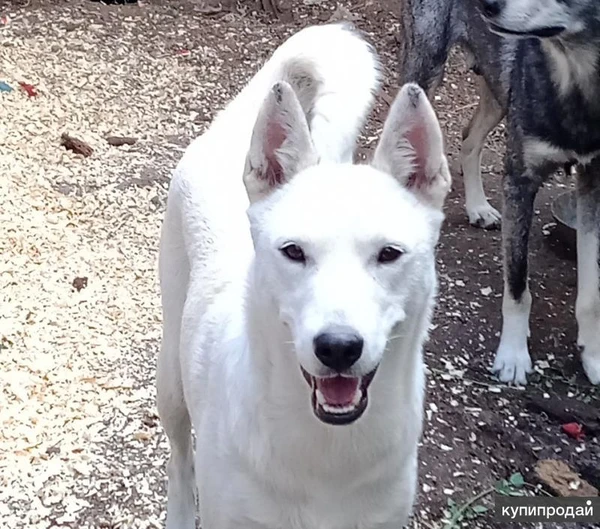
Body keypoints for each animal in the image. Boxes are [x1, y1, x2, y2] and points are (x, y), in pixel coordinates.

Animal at [157, 22, 452, 528]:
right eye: (293, 252)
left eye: (389, 254)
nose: (337, 348)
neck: (325, 452)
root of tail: (229, 136)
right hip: (171, 380)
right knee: (179, 460)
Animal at [398, 0, 600, 386]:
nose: (486, 5)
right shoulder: (520, 181)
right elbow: (518, 285)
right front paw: (514, 356)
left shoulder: (594, 185)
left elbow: (591, 290)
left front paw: (594, 356)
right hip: (425, 73)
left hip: (497, 89)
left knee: (468, 139)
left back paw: (477, 206)